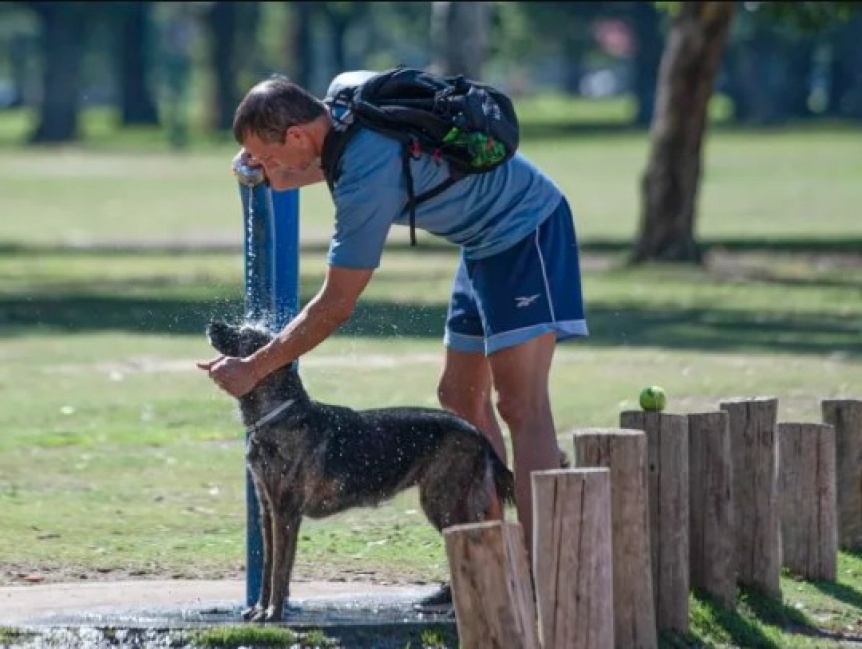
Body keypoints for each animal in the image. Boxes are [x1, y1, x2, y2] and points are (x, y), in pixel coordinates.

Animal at [206, 320, 516, 624]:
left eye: (245, 334)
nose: (212, 323)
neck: (278, 414)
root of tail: (477, 433)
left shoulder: (286, 513)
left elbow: (281, 569)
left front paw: (274, 613)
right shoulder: (268, 511)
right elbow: (268, 566)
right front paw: (260, 609)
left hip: (444, 503)